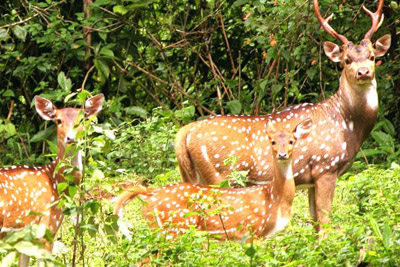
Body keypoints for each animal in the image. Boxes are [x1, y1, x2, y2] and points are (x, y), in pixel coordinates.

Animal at [0, 93, 104, 266]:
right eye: (58, 120)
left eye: (82, 119)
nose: (71, 138)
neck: (55, 182)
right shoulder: (47, 229)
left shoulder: (25, 239)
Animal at [115, 119, 312, 241]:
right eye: (272, 141)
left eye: (292, 141)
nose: (282, 154)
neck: (274, 198)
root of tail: (149, 193)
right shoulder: (252, 231)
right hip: (173, 228)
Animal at [175, 0, 390, 233]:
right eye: (346, 60)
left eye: (372, 56)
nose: (363, 72)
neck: (347, 125)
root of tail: (184, 134)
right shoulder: (326, 167)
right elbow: (325, 223)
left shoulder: (312, 179)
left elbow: (315, 224)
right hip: (220, 175)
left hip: (191, 174)